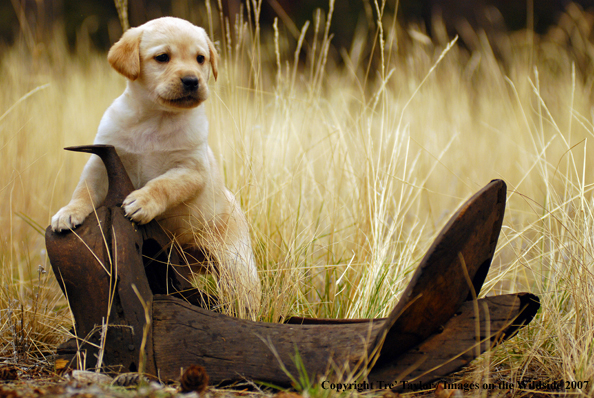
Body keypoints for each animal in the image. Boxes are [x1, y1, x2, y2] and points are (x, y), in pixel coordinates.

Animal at [52, 17, 260, 318]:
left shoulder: (191, 170)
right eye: (162, 57)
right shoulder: (100, 163)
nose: (192, 80)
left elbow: (163, 185)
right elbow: (84, 191)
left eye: (200, 59)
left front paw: (142, 202)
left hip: (237, 267)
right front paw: (68, 213)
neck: (156, 118)